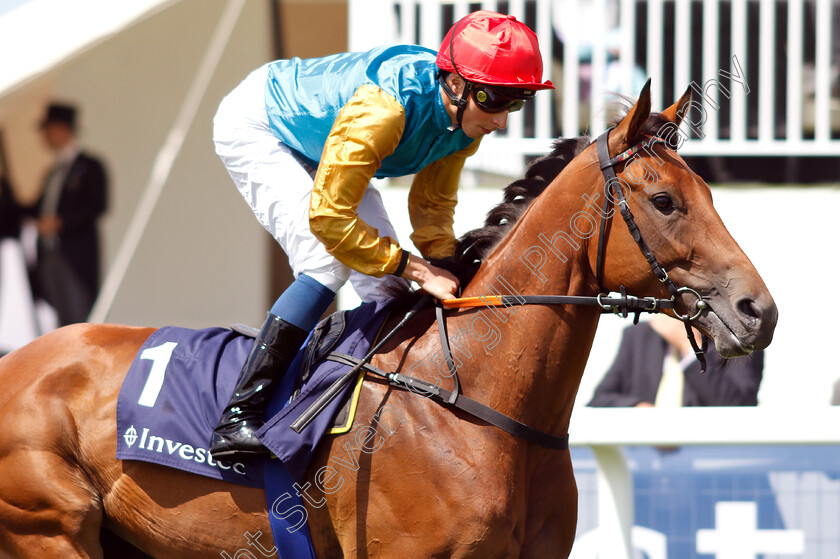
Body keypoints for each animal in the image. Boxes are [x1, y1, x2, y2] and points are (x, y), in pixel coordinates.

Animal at [0, 84, 776, 559]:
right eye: (665, 200)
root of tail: (18, 360)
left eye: (712, 191)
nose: (758, 311)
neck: (475, 402)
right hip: (49, 529)